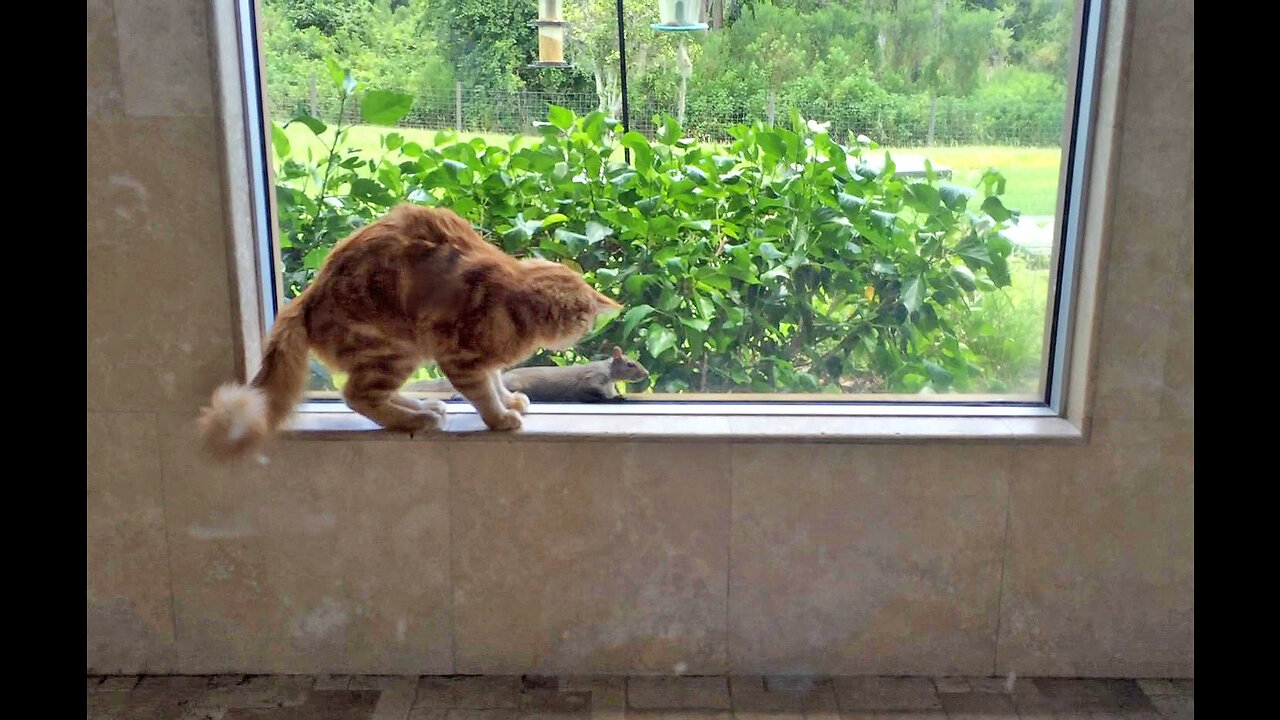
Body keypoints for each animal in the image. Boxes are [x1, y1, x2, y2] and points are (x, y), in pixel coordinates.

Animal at [198, 202, 619, 456]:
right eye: (583, 320)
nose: (587, 332)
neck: (510, 303)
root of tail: (306, 299)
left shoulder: (482, 358)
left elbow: (497, 380)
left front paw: (510, 401)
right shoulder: (460, 355)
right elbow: (483, 393)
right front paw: (500, 418)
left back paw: (422, 407)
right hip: (396, 349)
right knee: (356, 395)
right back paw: (416, 419)